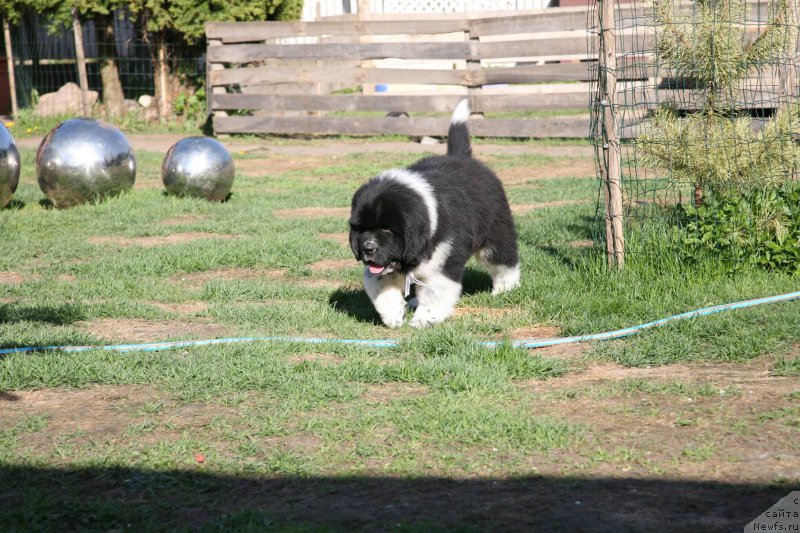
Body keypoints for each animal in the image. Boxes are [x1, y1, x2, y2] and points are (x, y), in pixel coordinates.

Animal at [348, 97, 520, 326]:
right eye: (362, 229)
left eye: (387, 229)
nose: (368, 249)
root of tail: (462, 157)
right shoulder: (384, 265)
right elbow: (380, 285)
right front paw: (394, 315)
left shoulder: (442, 261)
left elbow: (434, 293)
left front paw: (423, 321)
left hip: (495, 233)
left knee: (503, 260)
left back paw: (505, 288)